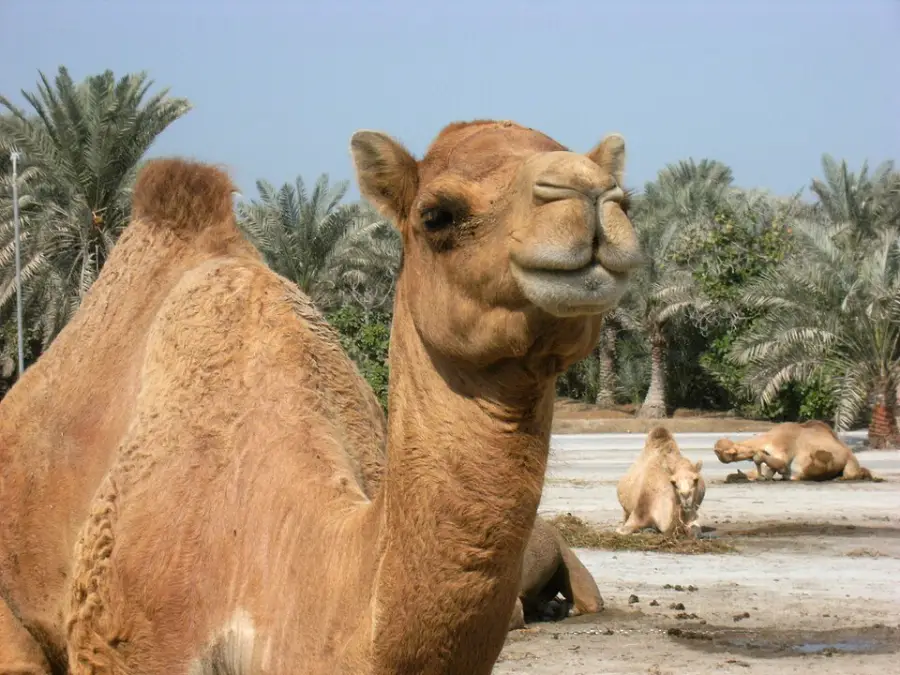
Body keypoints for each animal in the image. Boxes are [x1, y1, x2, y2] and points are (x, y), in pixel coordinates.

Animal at [713, 420, 873, 482]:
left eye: (727, 453)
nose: (717, 451)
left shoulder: (784, 452)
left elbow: (769, 461)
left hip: (851, 462)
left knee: (851, 473)